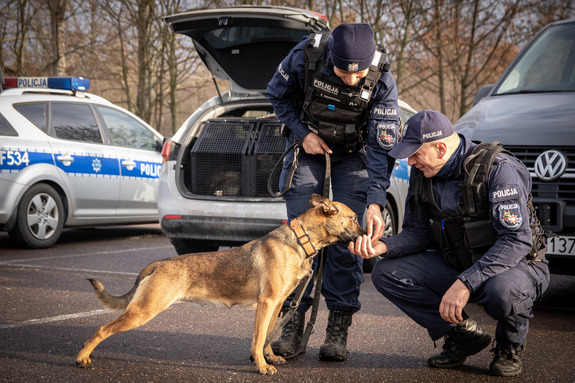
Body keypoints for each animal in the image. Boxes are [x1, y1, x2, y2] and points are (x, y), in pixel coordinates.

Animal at [76, 195, 366, 376]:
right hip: (143, 311)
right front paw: (261, 366)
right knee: (102, 329)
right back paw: (82, 358)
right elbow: (258, 339)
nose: (367, 236)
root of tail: (157, 264)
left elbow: (268, 336)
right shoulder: (266, 303)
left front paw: (268, 358)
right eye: (353, 218)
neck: (299, 239)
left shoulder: (277, 305)